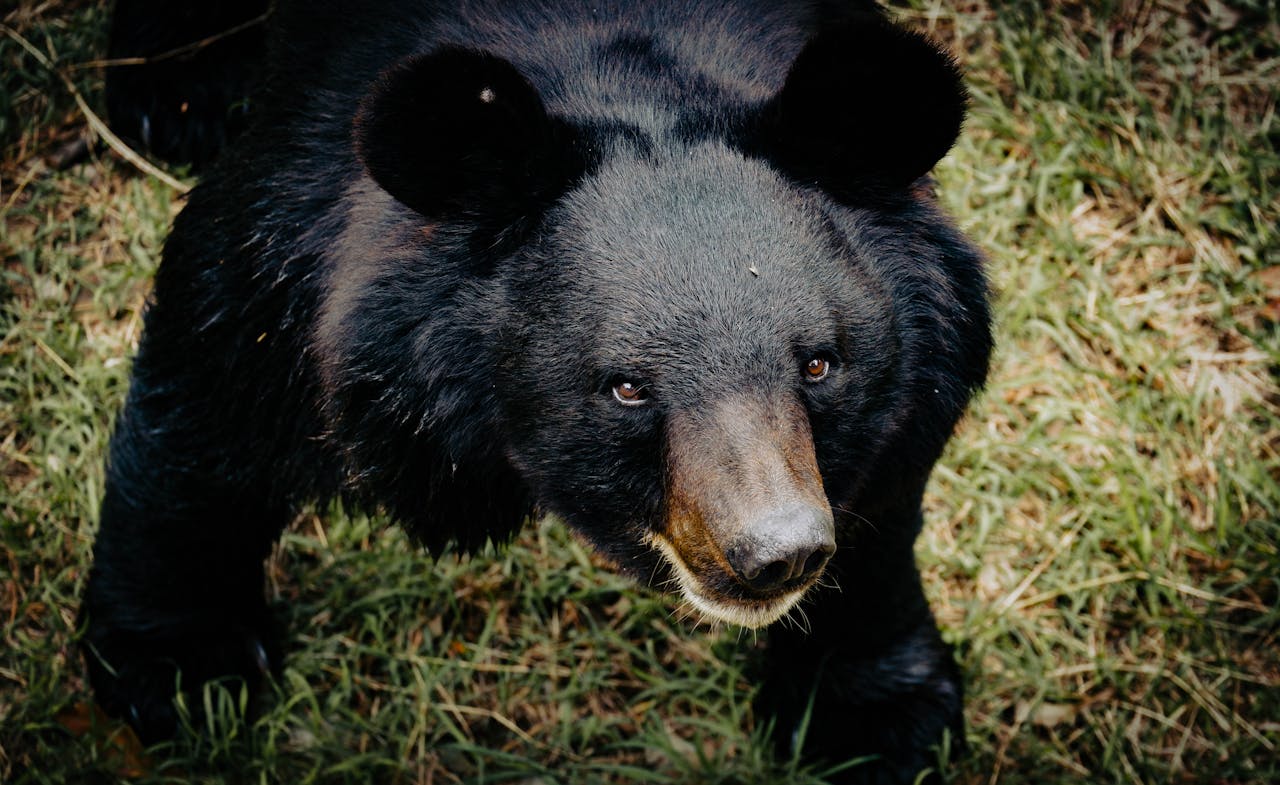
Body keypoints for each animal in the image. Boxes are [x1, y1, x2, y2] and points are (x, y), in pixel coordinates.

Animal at [85, 3, 988, 778]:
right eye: (626, 386)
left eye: (819, 364)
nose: (778, 553)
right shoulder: (295, 246)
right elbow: (209, 403)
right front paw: (178, 671)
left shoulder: (924, 344)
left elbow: (881, 501)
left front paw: (878, 720)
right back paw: (181, 93)